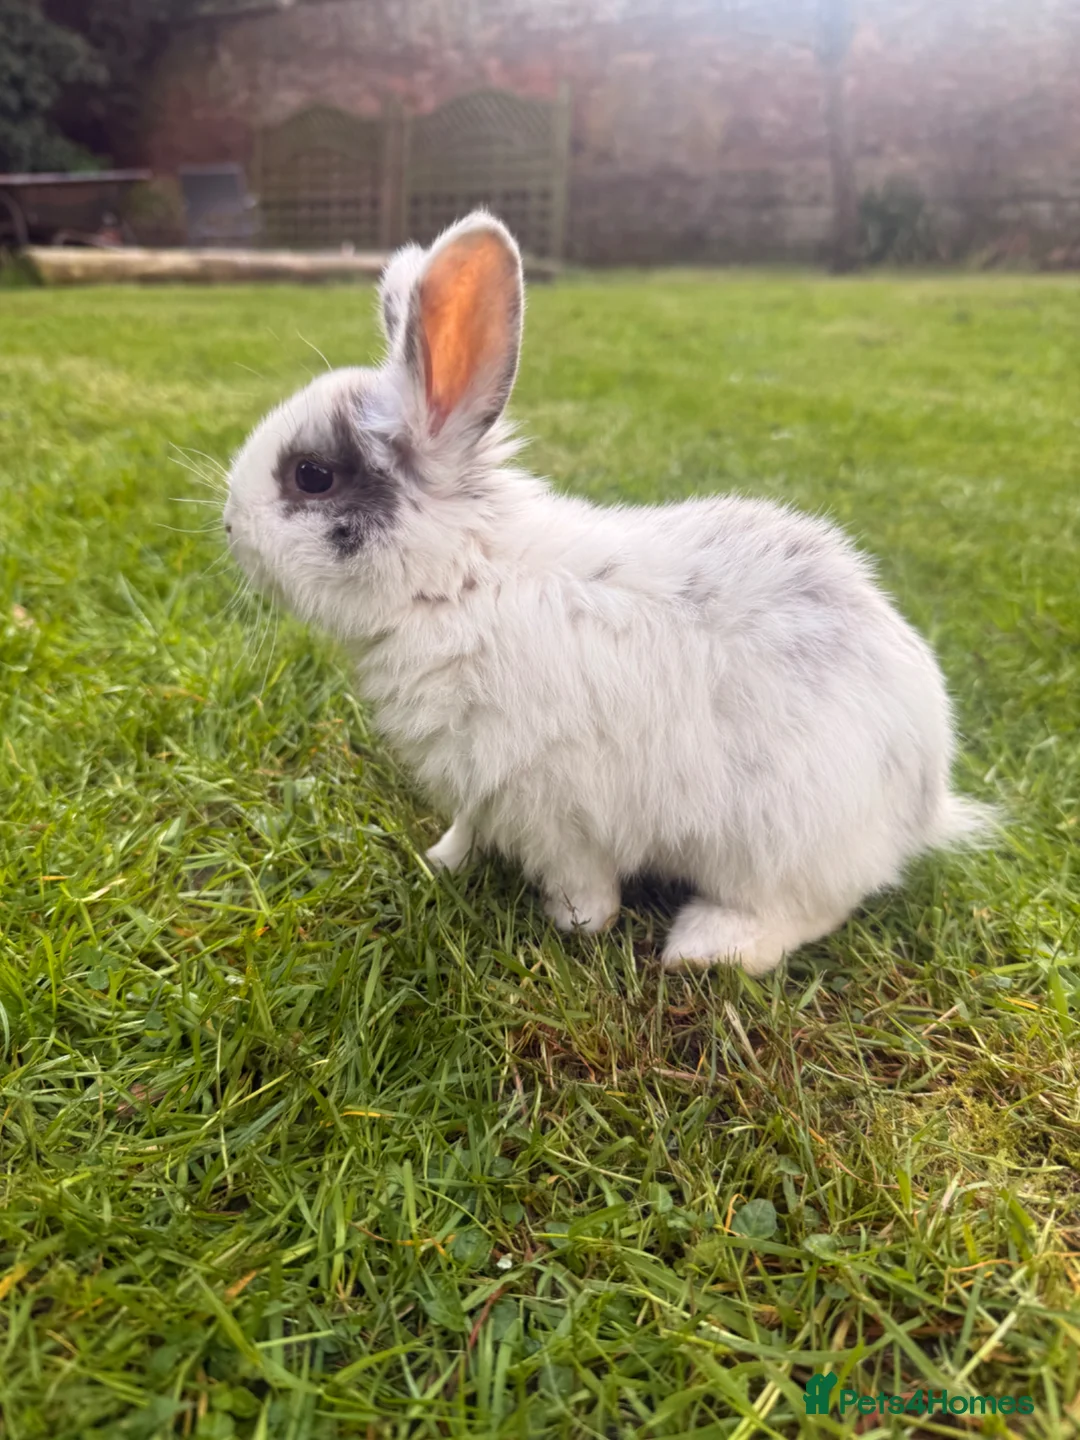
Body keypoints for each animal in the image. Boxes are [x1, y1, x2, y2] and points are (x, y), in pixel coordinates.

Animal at [223, 210, 989, 975]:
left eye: (312, 476)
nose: (230, 526)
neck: (459, 580)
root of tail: (923, 800)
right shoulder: (482, 789)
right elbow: (468, 828)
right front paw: (441, 860)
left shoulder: (555, 807)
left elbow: (580, 877)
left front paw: (574, 923)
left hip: (779, 841)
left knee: (806, 909)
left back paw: (703, 945)